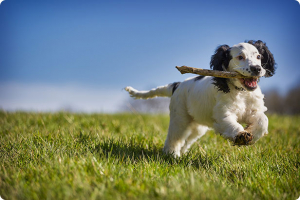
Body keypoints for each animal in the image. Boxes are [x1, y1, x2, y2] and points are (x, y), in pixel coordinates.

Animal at [125, 39, 276, 157]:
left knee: (186, 140)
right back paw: (172, 155)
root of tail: (177, 85)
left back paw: (181, 154)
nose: (257, 69)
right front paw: (241, 136)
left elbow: (263, 120)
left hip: (197, 127)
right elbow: (231, 124)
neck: (241, 92)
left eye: (258, 56)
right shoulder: (222, 114)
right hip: (180, 118)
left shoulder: (254, 110)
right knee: (174, 138)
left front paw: (251, 134)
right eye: (240, 57)